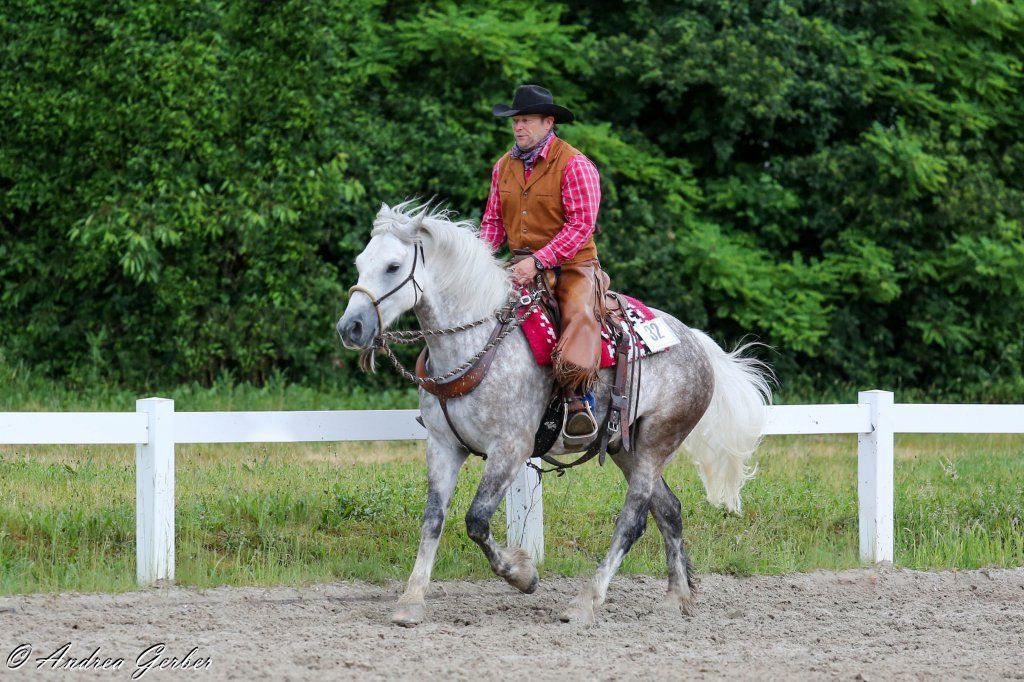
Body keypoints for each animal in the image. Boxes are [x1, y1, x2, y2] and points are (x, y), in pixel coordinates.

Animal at [337, 201, 772, 626]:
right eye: (360, 262)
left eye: (393, 266)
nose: (350, 327)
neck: (477, 344)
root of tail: (696, 343)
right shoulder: (443, 446)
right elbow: (433, 519)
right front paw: (411, 600)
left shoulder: (510, 449)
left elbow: (476, 520)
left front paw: (523, 574)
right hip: (625, 448)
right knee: (669, 510)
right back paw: (675, 599)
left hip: (657, 441)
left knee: (633, 520)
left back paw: (586, 602)